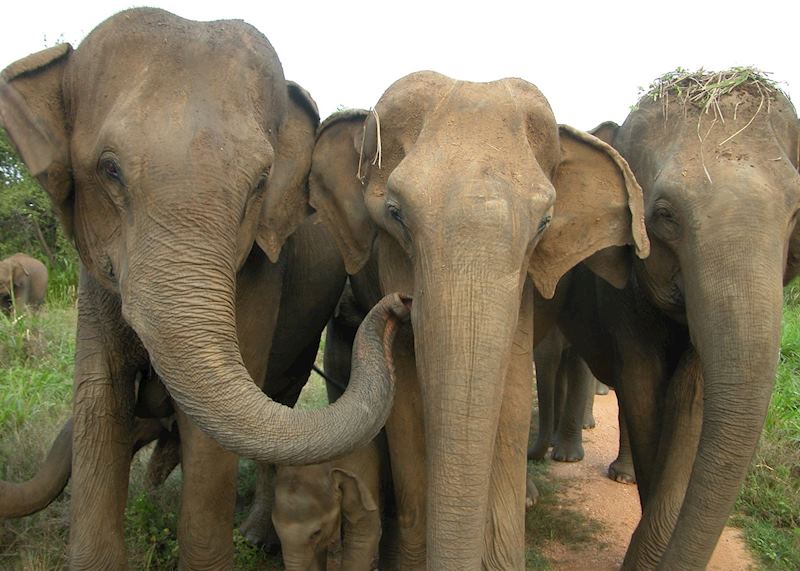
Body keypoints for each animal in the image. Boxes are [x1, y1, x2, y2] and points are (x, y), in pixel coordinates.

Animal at [553, 70, 800, 569]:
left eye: (796, 214)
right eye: (664, 216)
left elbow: (691, 401)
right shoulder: (622, 291)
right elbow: (645, 389)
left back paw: (622, 477)